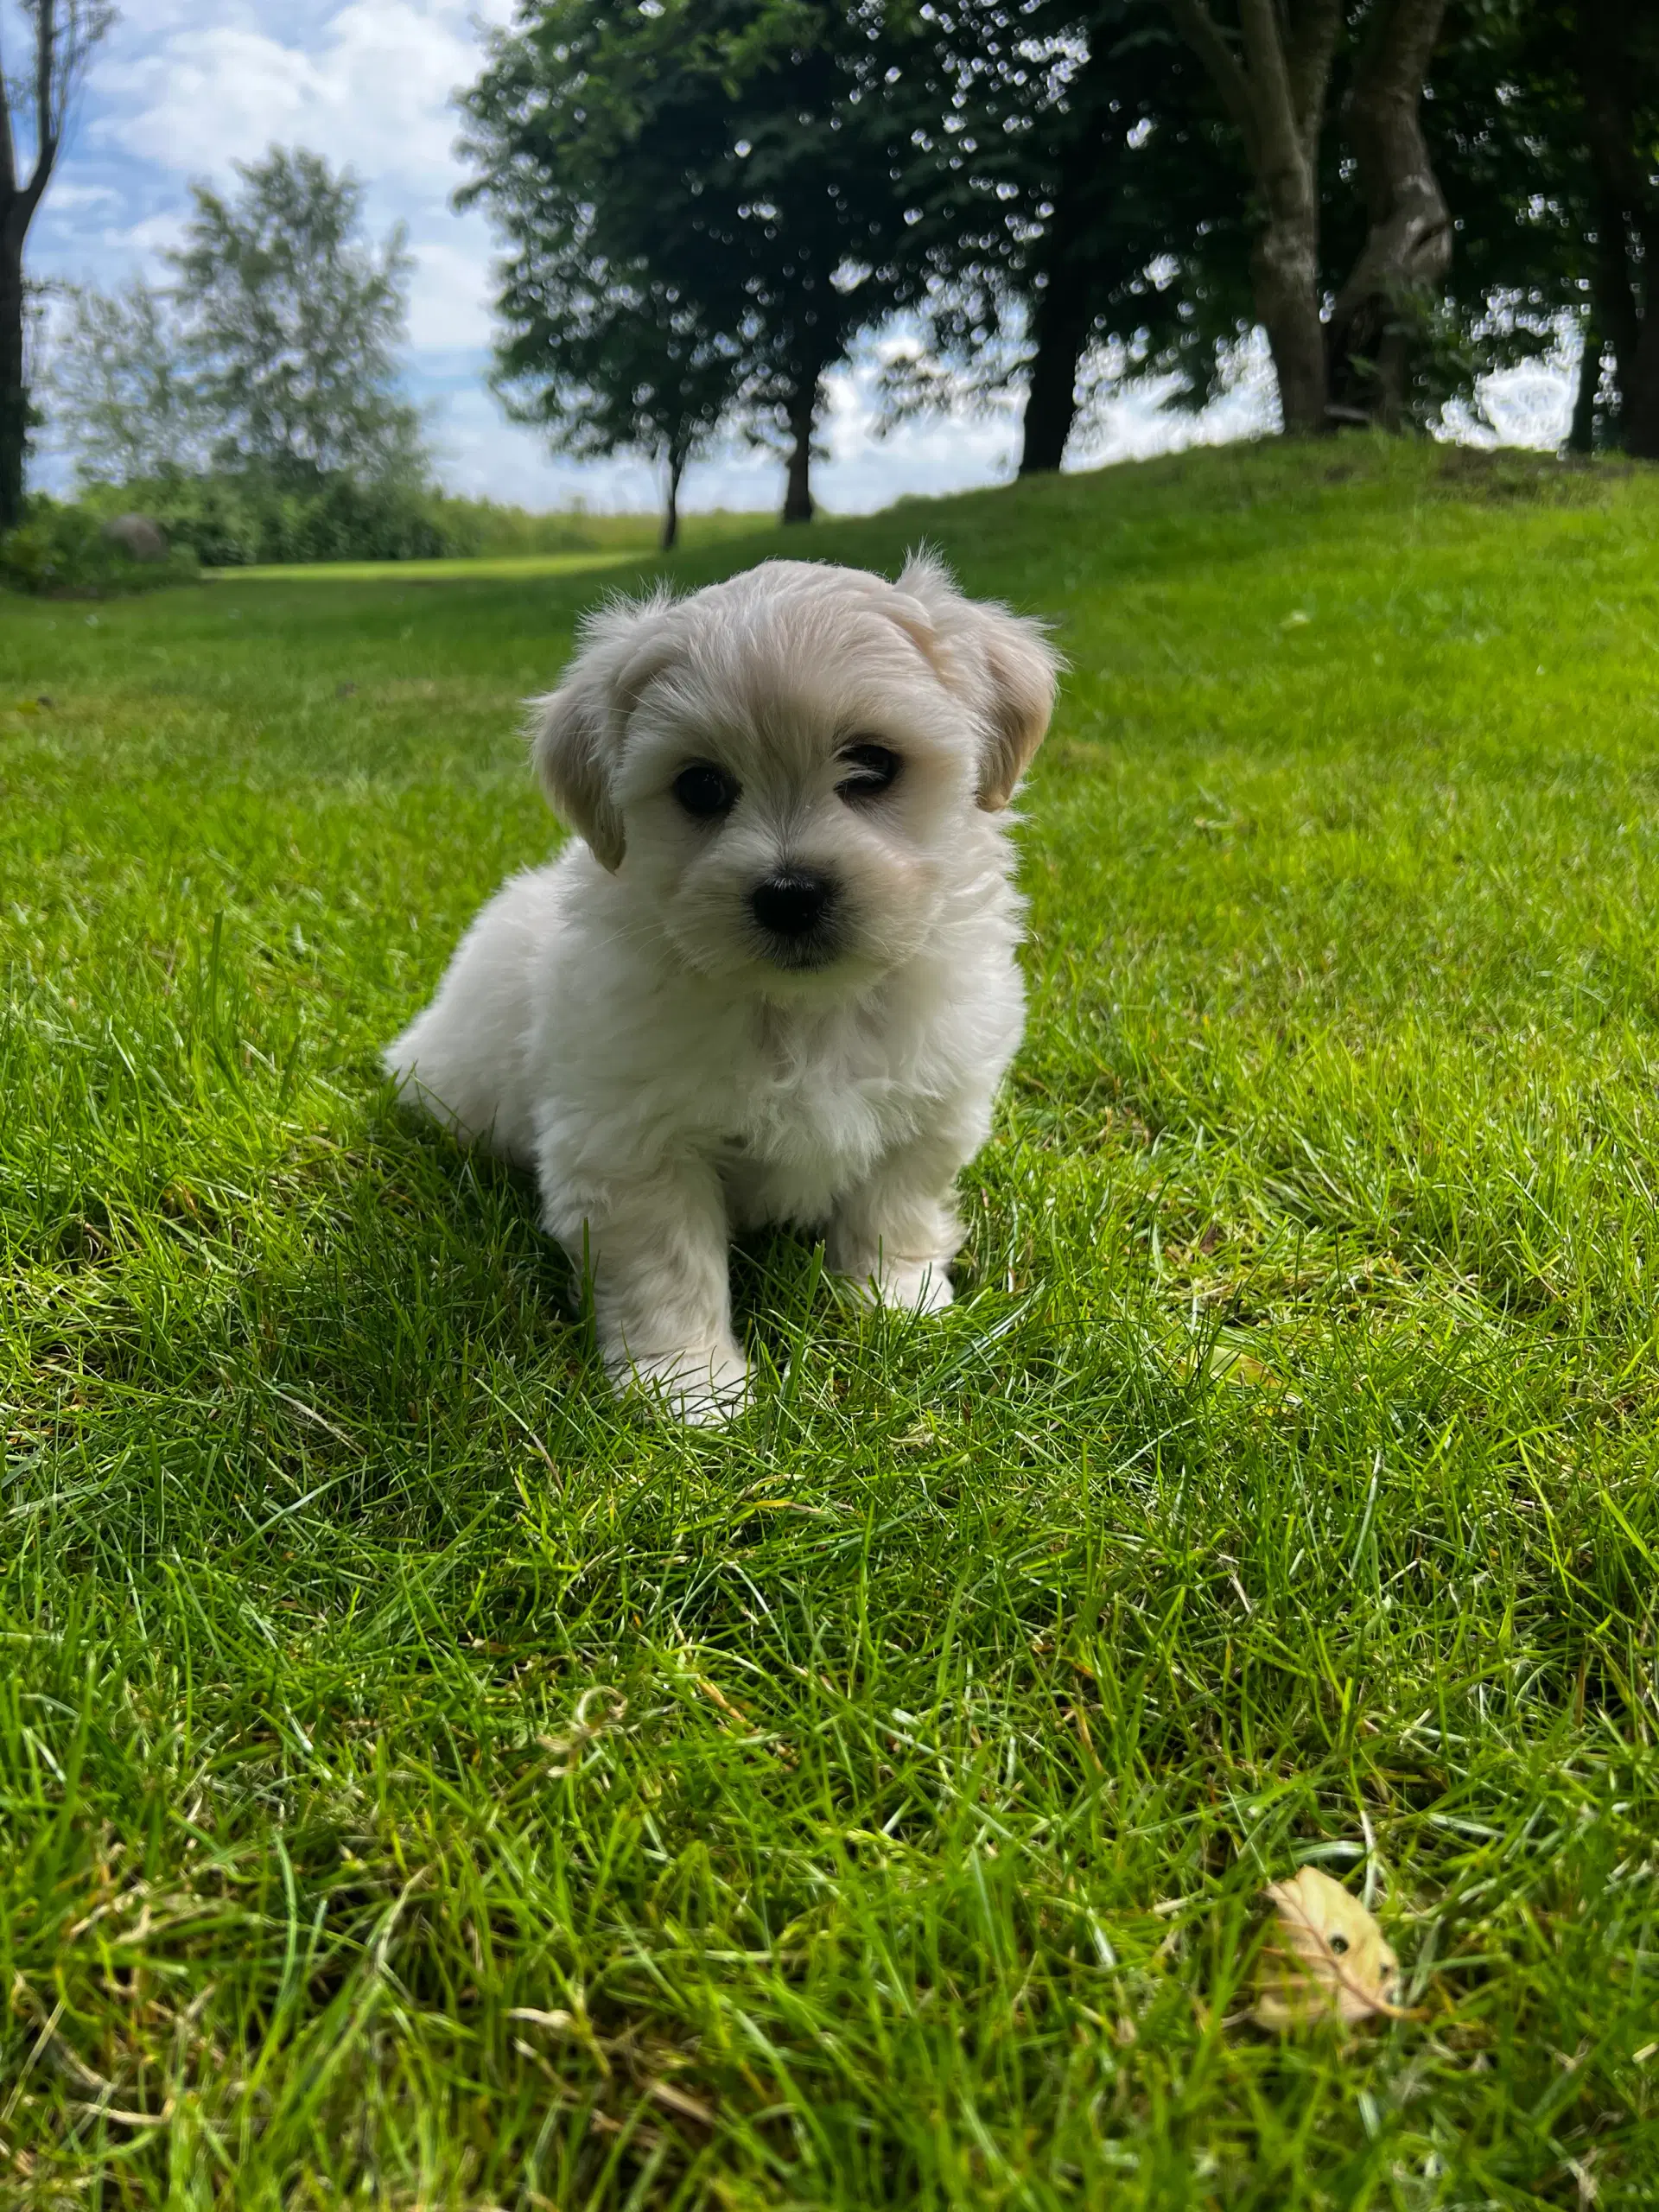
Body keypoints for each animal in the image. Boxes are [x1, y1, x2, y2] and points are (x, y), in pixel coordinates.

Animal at [389, 546, 1057, 1424]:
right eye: (700, 786)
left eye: (874, 764)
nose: (790, 893)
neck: (804, 1013)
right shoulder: (635, 1146)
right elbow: (668, 1267)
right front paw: (691, 1392)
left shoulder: (934, 1101)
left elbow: (897, 1202)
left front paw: (894, 1303)